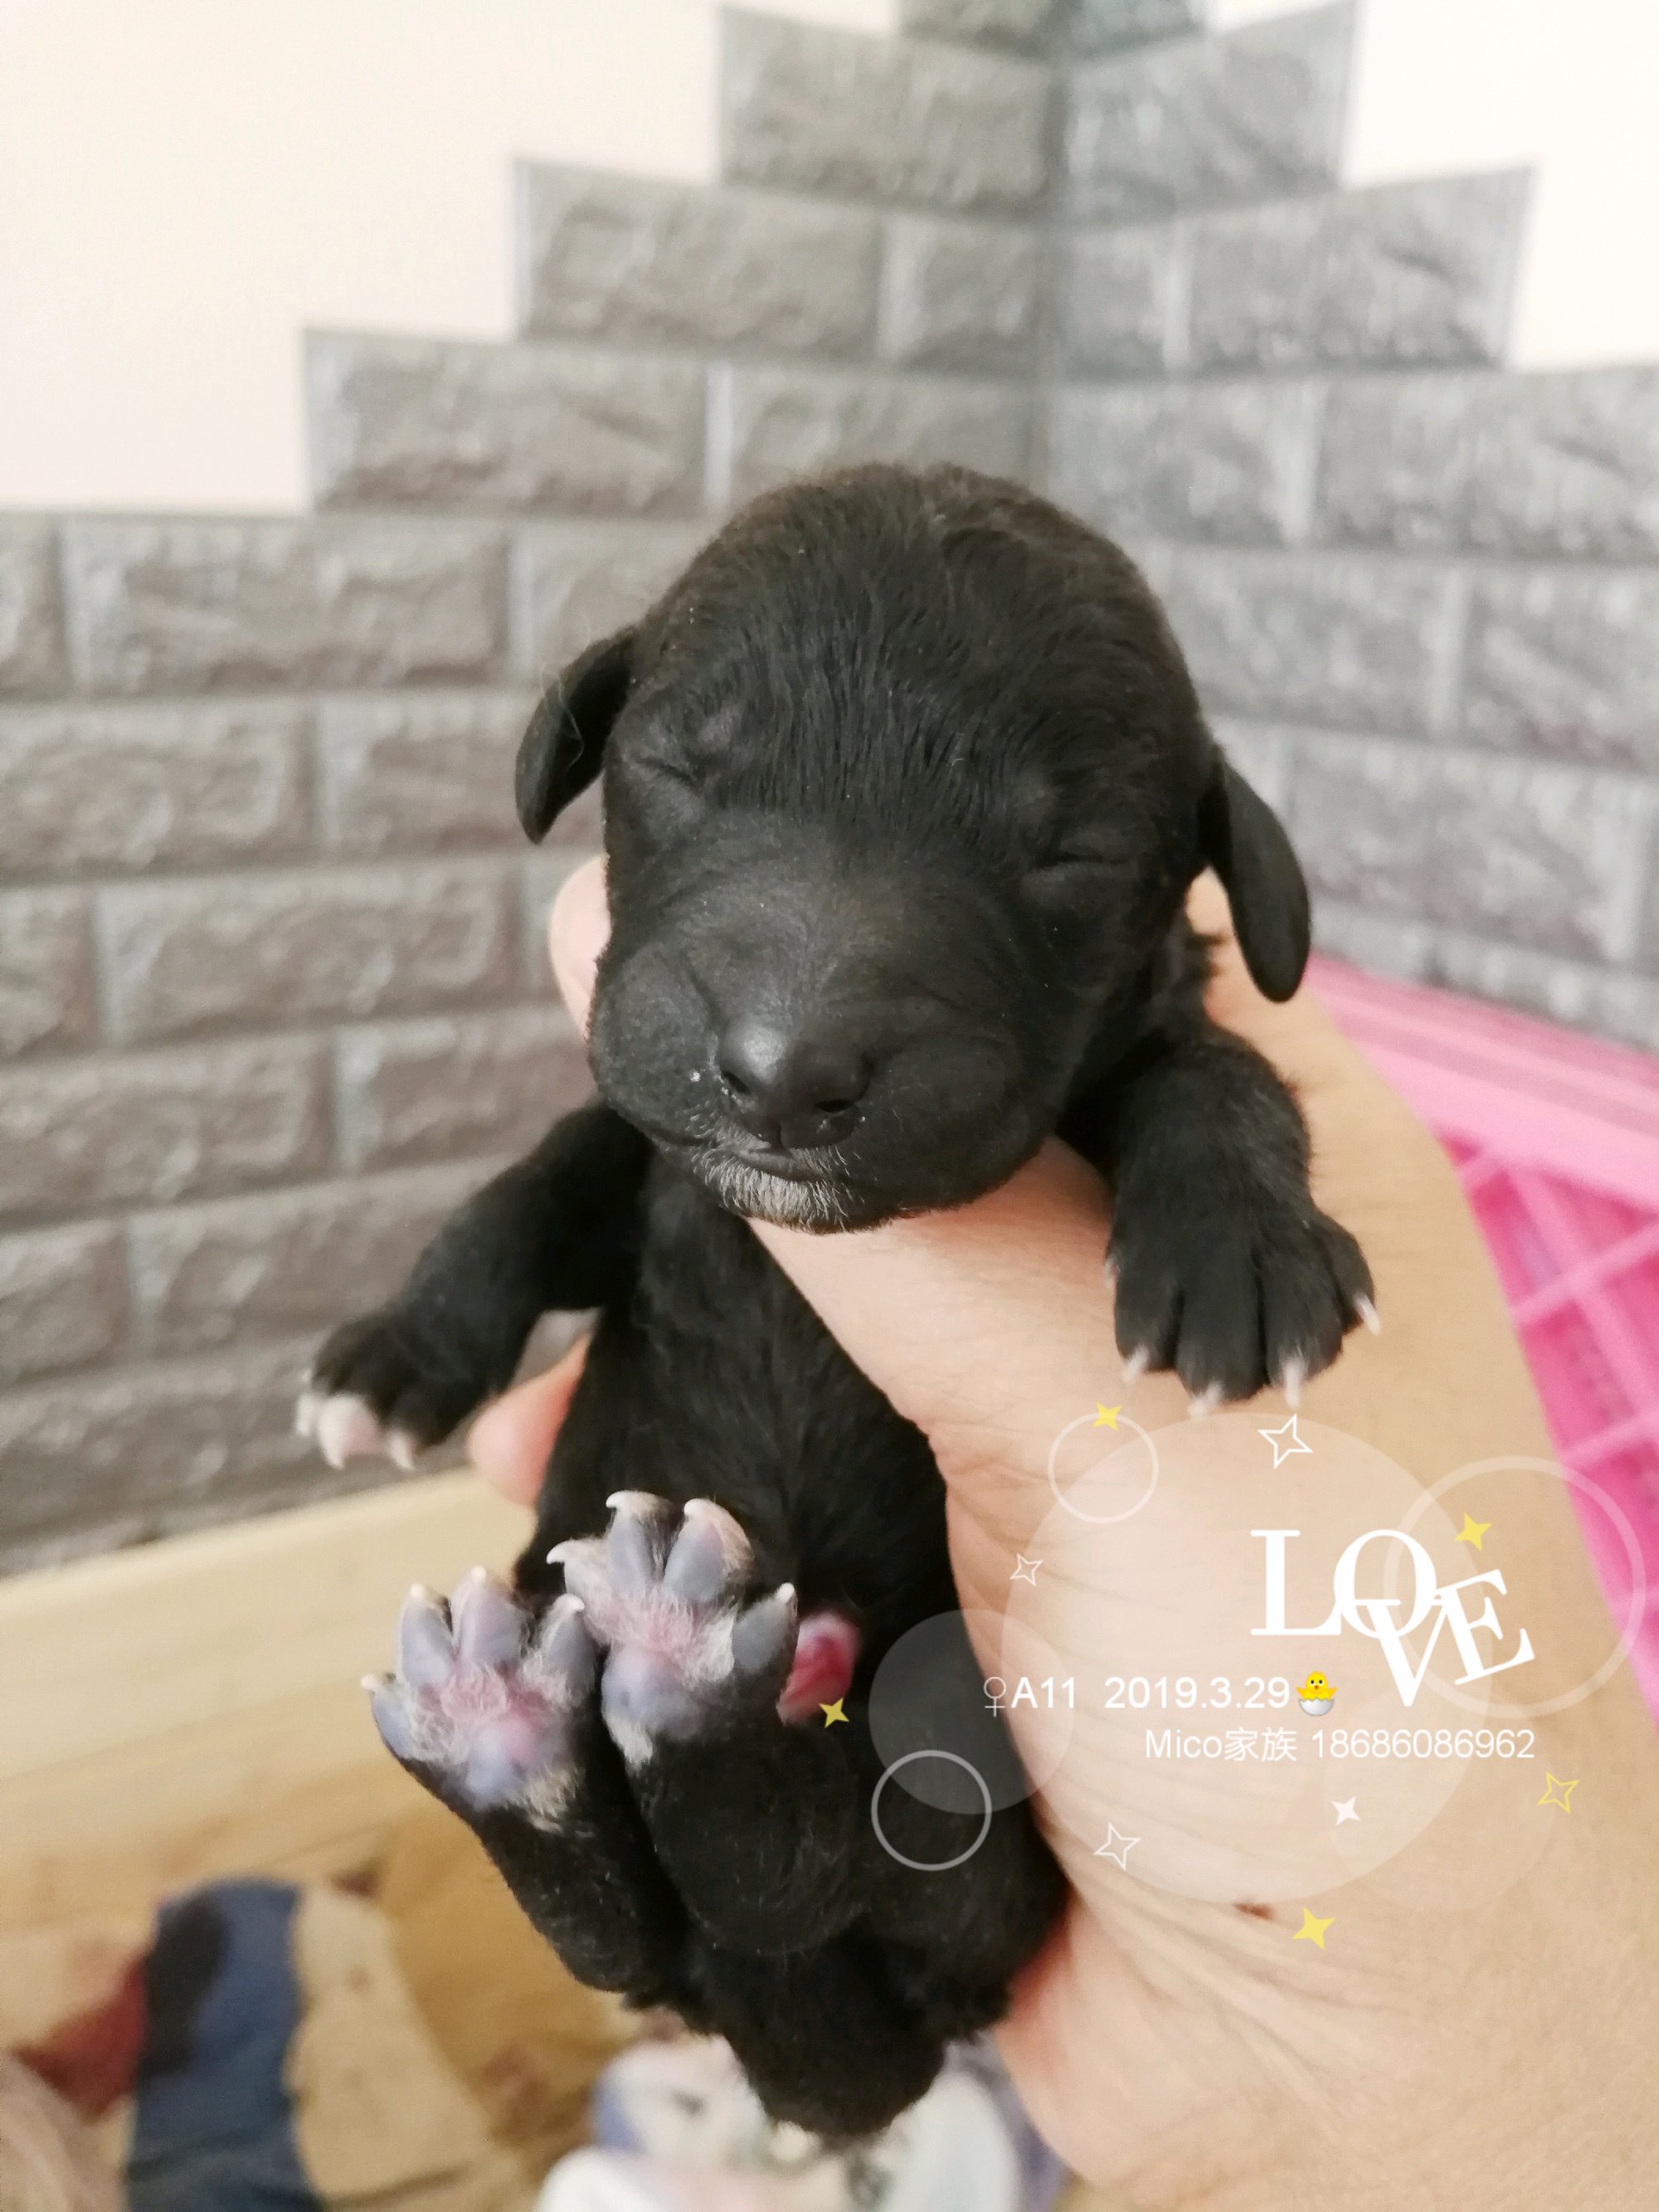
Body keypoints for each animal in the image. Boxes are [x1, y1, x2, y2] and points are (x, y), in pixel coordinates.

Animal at [298, 464, 1372, 2140]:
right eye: (680, 765)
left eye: (1069, 856)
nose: (784, 1072)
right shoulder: (652, 1157)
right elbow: (536, 1184)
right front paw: (400, 1355)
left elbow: (1218, 1067)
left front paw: (1243, 1250)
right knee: (638, 1930)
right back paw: (526, 1731)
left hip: (961, 1779)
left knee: (795, 1874)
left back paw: (673, 1703)